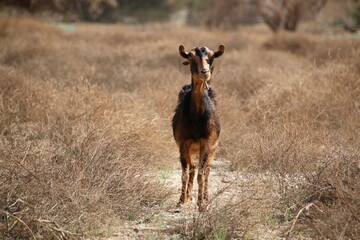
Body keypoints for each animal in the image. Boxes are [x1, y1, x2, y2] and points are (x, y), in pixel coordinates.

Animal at [172, 44, 225, 210]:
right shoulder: (183, 143)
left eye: (211, 56)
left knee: (206, 170)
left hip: (212, 147)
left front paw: (201, 203)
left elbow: (202, 173)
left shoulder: (207, 142)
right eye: (190, 57)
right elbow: (185, 173)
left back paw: (206, 197)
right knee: (193, 168)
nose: (205, 72)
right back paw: (188, 197)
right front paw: (181, 201)